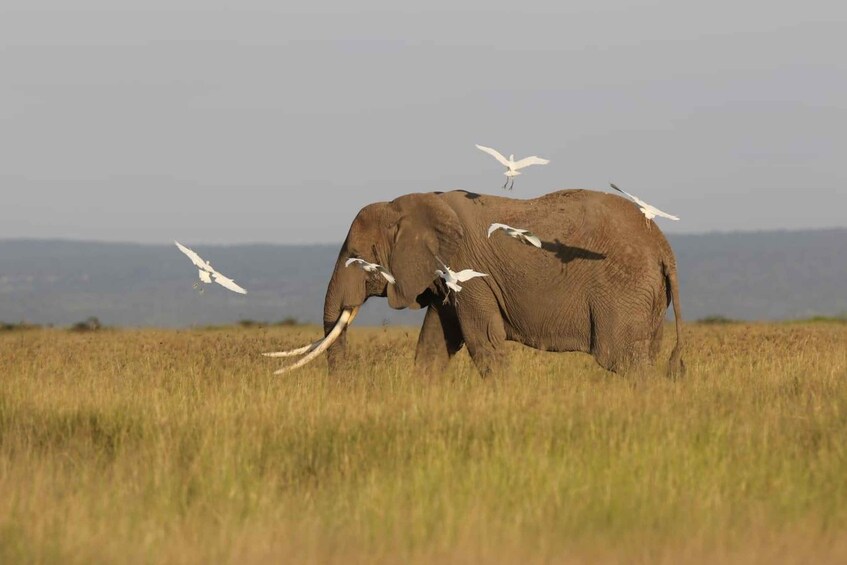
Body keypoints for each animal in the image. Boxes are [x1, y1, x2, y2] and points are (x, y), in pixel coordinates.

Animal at [269, 189, 684, 378]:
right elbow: (434, 345)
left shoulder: (469, 273)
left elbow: (483, 341)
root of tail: (664, 248)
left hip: (623, 288)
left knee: (622, 359)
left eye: (357, 254)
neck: (409, 204)